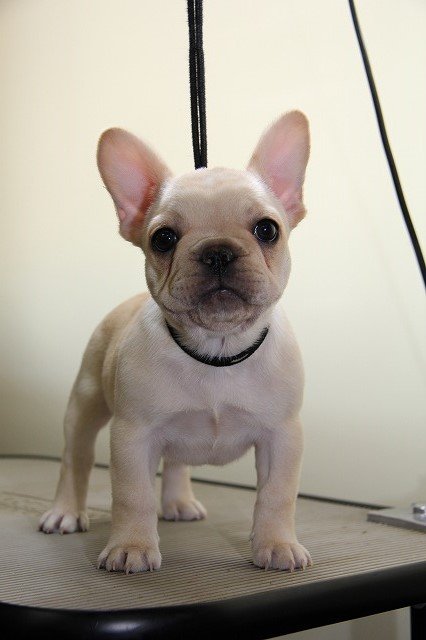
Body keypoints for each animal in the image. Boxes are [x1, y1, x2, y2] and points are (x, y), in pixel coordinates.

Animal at [39, 110, 312, 573]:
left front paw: (276, 544)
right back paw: (65, 512)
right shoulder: (133, 437)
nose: (218, 250)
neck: (217, 347)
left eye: (267, 229)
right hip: (85, 404)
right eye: (163, 238)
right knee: (74, 458)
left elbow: (278, 495)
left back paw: (179, 501)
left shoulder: (282, 437)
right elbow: (132, 495)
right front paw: (131, 547)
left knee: (177, 462)